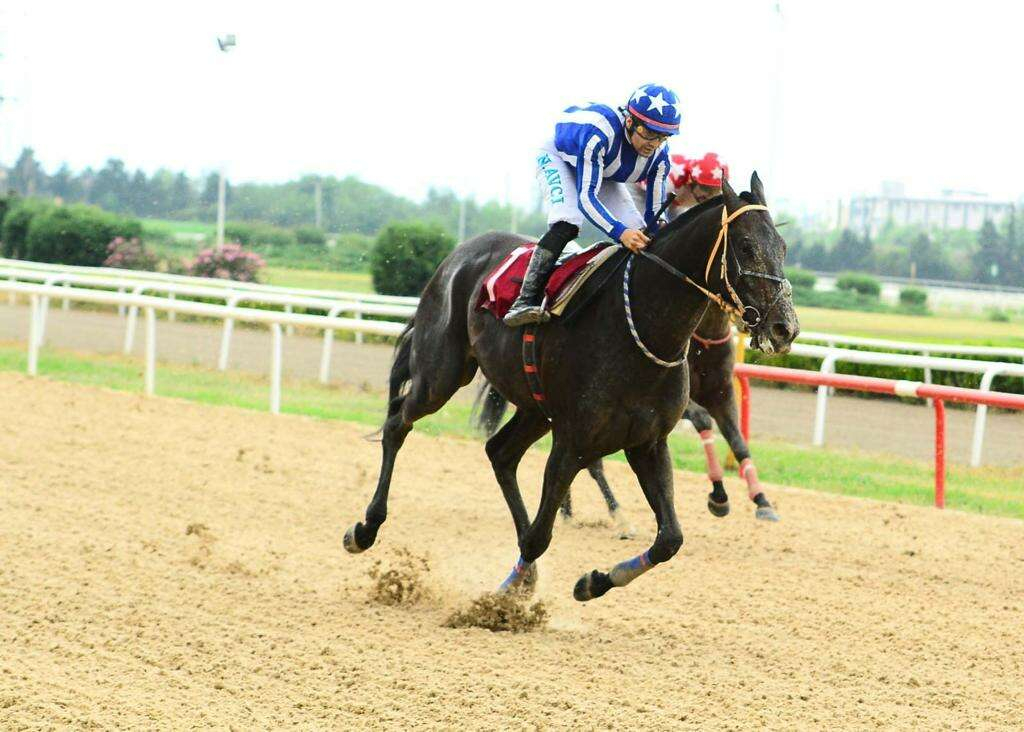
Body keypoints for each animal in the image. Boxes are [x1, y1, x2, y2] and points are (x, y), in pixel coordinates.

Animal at [344, 175, 798, 606]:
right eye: (745, 246)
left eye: (782, 246)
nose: (785, 327)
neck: (642, 327)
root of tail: (461, 253)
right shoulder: (573, 441)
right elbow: (539, 537)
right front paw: (504, 597)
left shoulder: (648, 442)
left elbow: (670, 538)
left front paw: (591, 582)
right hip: (441, 374)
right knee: (398, 423)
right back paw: (365, 528)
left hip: (535, 409)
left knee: (500, 453)